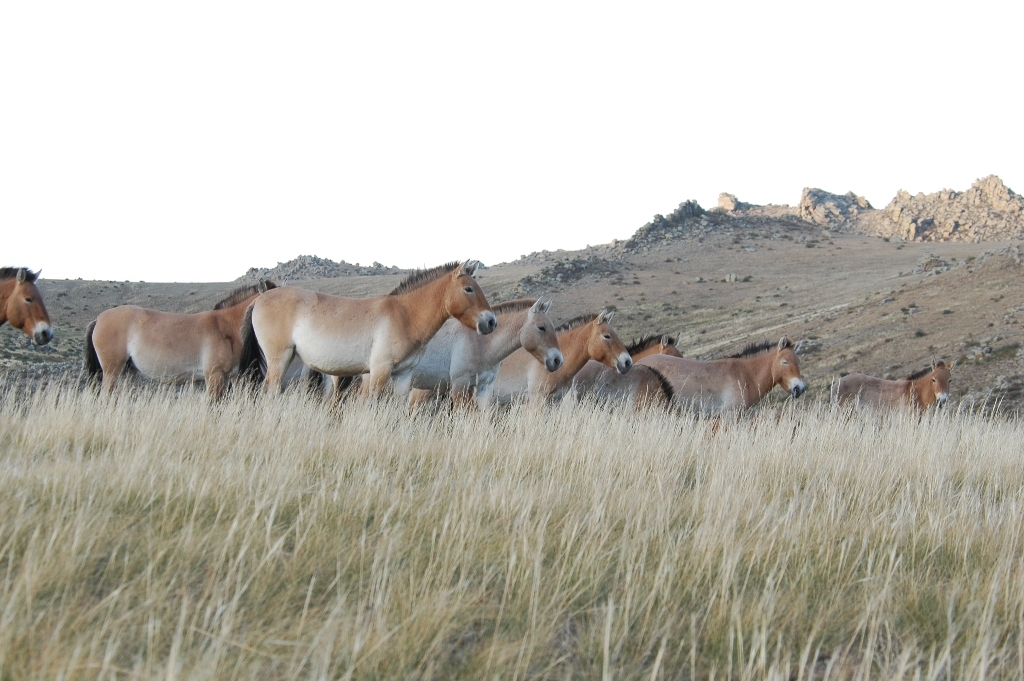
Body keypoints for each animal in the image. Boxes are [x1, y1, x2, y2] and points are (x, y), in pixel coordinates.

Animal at [84, 280, 276, 399]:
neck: (226, 326)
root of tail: (98, 319)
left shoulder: (232, 377)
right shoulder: (214, 376)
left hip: (126, 373)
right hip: (112, 372)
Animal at [239, 260, 495, 399]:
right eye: (468, 289)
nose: (491, 322)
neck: (404, 315)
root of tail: (260, 299)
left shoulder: (403, 376)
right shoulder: (379, 371)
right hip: (279, 359)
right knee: (270, 390)